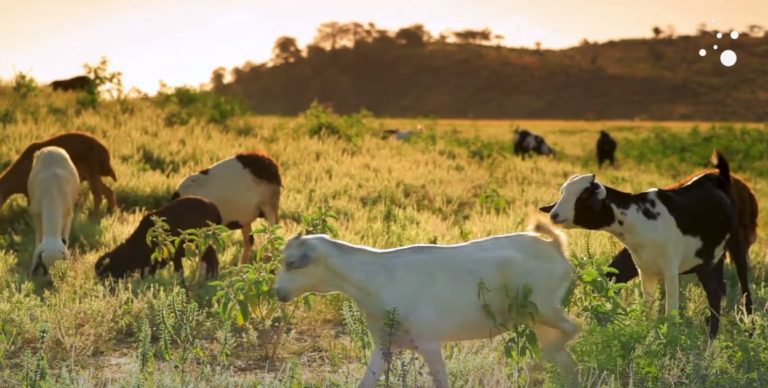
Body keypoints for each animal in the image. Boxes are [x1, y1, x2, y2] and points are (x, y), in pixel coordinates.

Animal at [27, 146, 79, 276]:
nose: (50, 281)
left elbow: (65, 237)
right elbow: (38, 239)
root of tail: (51, 148)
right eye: (44, 267)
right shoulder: (36, 214)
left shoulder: (68, 215)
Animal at [540, 150, 752, 338]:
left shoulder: (670, 269)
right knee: (715, 293)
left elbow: (670, 314)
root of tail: (719, 177)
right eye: (562, 193)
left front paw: (670, 343)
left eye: (584, 196)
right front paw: (650, 339)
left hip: (737, 242)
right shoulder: (645, 270)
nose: (554, 215)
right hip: (706, 260)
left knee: (744, 288)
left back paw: (749, 329)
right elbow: (649, 311)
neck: (640, 220)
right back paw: (711, 339)